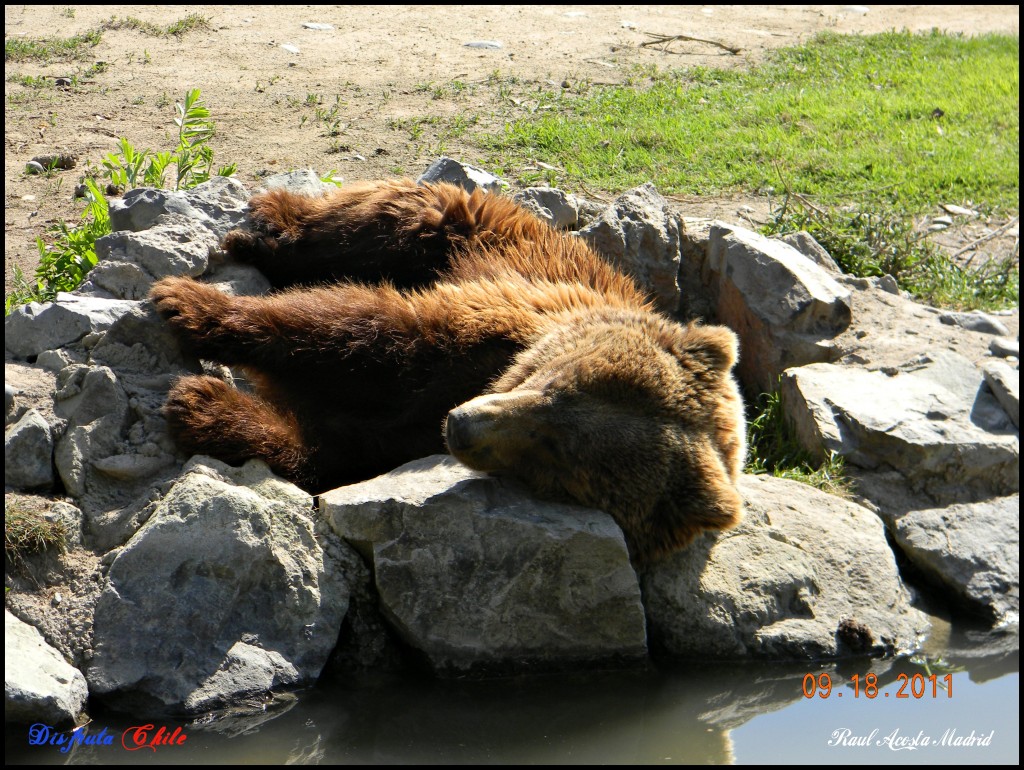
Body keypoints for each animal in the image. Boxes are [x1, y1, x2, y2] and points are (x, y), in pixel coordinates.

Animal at [149, 181, 745, 565]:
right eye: (555, 383)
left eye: (558, 454)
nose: (462, 425)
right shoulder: (496, 314)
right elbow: (361, 328)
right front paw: (189, 304)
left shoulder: (399, 442)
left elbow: (329, 452)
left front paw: (205, 406)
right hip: (466, 228)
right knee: (375, 223)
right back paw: (267, 226)